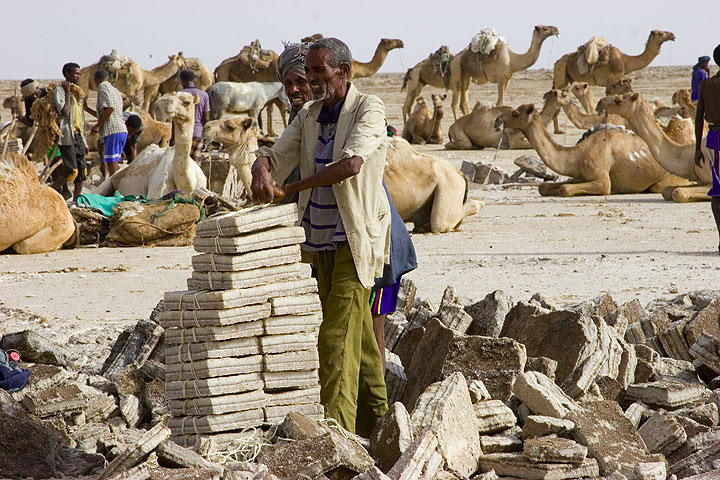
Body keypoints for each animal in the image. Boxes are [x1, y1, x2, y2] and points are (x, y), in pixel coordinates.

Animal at [496, 103, 692, 197]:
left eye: (515, 113)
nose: (498, 119)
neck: (577, 154)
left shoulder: (602, 181)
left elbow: (565, 189)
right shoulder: (578, 176)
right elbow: (545, 186)